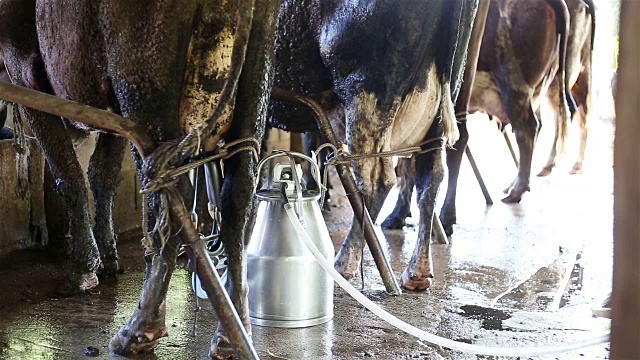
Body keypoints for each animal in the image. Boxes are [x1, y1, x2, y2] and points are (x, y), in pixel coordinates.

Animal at [0, 0, 280, 358]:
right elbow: (102, 177)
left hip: (141, 87)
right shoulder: (112, 111)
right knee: (239, 195)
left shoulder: (23, 65)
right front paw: (108, 258)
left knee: (168, 195)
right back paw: (232, 333)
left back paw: (140, 328)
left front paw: (83, 268)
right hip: (253, 93)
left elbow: (70, 176)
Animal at [268, 0, 478, 290]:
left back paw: (344, 264)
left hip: (365, 94)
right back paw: (417, 273)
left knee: (375, 181)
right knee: (431, 178)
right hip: (437, 112)